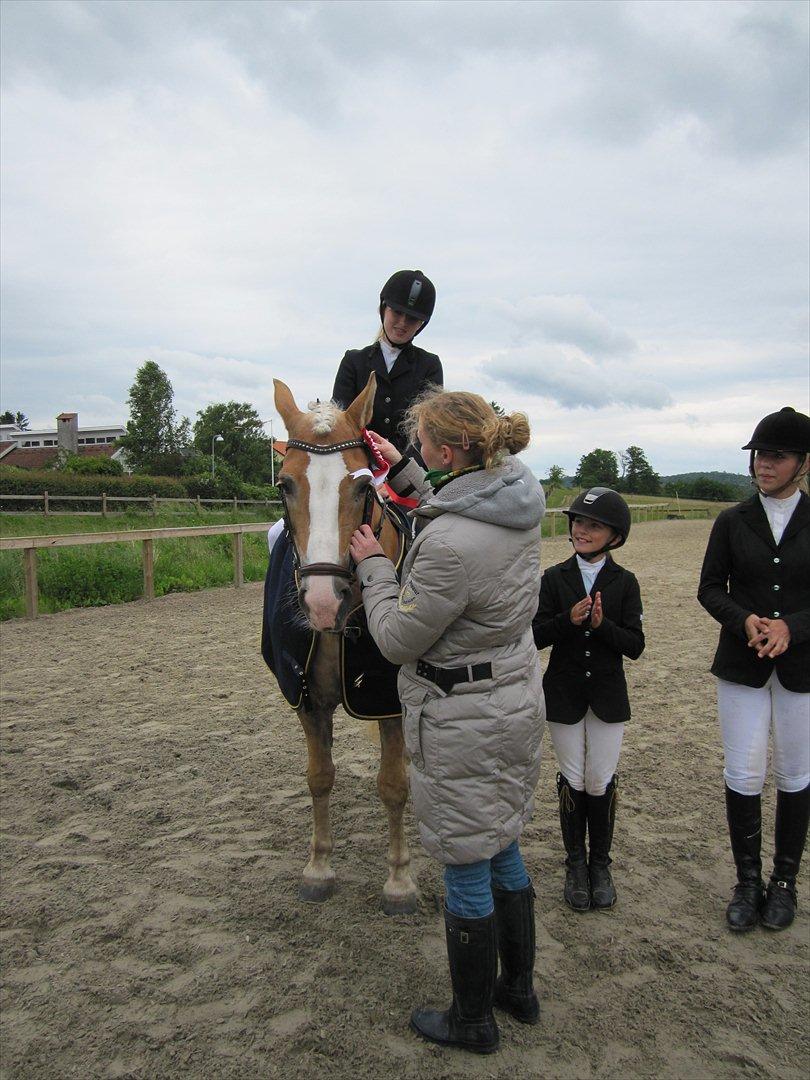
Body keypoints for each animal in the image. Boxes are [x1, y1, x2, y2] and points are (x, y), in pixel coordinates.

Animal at [266, 375, 419, 915]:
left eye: (361, 486)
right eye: (284, 485)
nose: (321, 601)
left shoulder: (388, 700)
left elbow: (393, 786)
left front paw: (399, 881)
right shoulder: (308, 701)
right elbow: (319, 777)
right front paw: (318, 869)